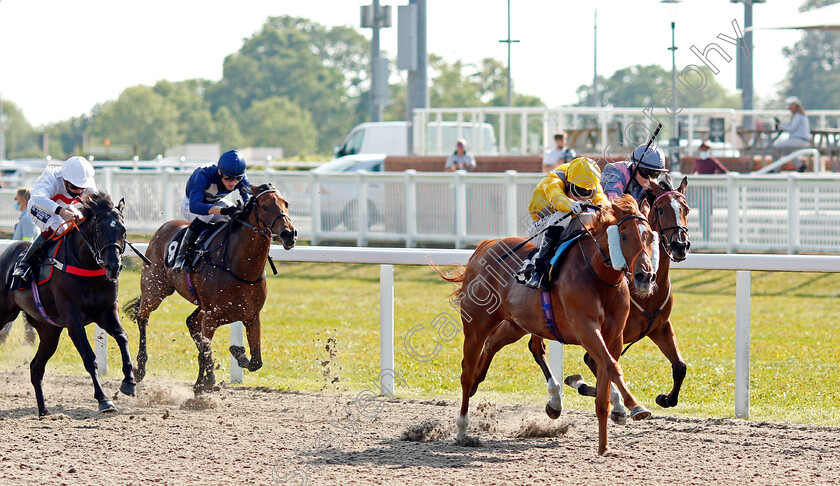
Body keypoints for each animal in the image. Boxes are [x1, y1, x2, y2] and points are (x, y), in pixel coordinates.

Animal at [0, 192, 133, 416]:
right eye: (99, 229)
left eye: (123, 230)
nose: (114, 267)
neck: (87, 266)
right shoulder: (73, 318)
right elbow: (89, 357)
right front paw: (104, 400)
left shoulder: (106, 312)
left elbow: (123, 337)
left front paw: (129, 382)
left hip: (49, 330)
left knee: (36, 368)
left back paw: (43, 411)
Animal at [123, 184, 296, 392]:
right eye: (264, 206)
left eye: (286, 203)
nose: (288, 234)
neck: (239, 267)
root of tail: (164, 228)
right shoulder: (211, 317)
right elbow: (206, 351)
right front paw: (207, 382)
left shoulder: (251, 316)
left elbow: (256, 361)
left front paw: (237, 352)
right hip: (154, 290)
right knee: (142, 317)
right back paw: (140, 368)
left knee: (191, 322)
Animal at [446, 195, 664, 456]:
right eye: (623, 236)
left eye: (650, 236)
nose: (645, 277)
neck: (599, 276)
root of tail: (484, 247)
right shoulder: (586, 328)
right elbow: (612, 367)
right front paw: (635, 406)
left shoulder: (614, 337)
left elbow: (605, 381)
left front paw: (604, 445)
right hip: (476, 323)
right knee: (467, 372)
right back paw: (462, 428)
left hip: (517, 323)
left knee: (495, 347)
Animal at [560, 177, 692, 424]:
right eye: (661, 209)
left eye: (686, 209)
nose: (680, 245)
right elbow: (600, 365)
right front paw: (617, 404)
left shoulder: (660, 327)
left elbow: (680, 366)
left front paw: (665, 399)